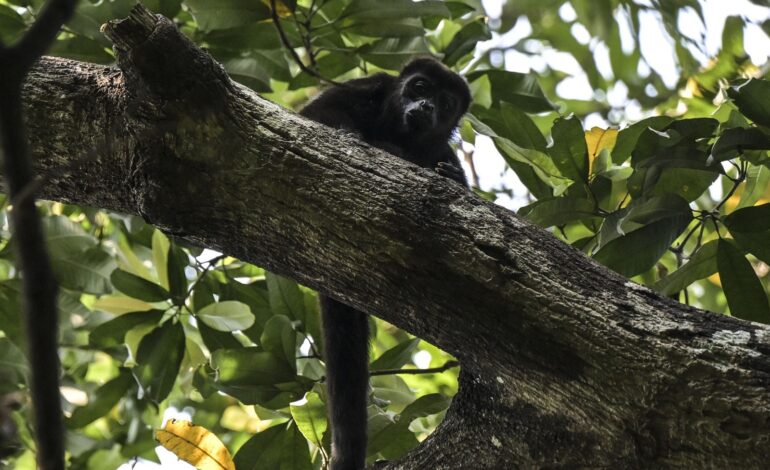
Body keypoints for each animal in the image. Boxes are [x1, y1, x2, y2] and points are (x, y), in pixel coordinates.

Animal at [298, 57, 468, 470]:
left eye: (446, 103)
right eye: (420, 87)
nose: (426, 106)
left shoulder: (443, 149)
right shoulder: (368, 86)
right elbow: (312, 115)